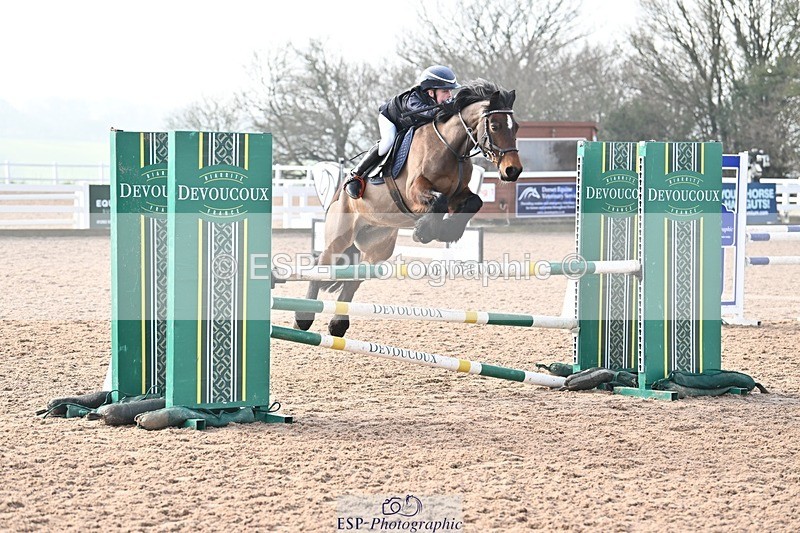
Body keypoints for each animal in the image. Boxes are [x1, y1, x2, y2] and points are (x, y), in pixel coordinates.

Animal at [294, 79, 523, 337]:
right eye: (494, 125)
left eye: (516, 127)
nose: (512, 170)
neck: (451, 147)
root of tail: (337, 195)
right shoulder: (415, 190)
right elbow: (438, 201)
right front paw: (423, 232)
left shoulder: (458, 195)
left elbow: (474, 202)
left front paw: (447, 232)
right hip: (339, 237)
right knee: (320, 267)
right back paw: (302, 319)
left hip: (377, 248)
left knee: (355, 278)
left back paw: (337, 326)